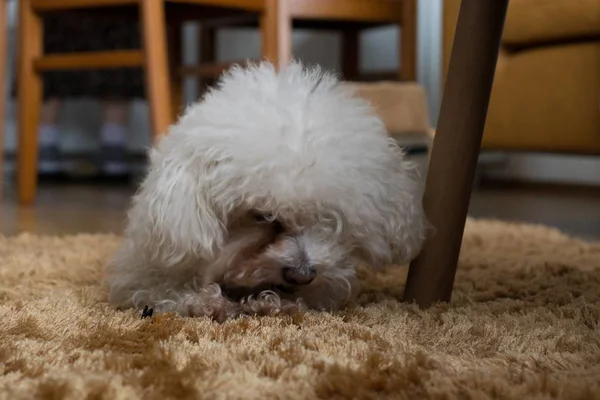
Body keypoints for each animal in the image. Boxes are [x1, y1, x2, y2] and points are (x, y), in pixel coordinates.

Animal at [106, 61, 426, 322]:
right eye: (261, 215)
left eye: (328, 217)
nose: (302, 275)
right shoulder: (141, 273)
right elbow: (169, 290)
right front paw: (207, 302)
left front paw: (271, 302)